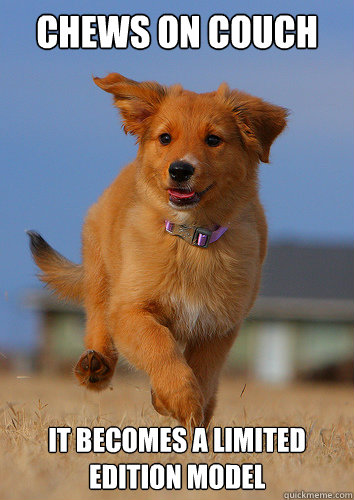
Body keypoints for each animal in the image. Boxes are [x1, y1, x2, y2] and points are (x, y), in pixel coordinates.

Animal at [27, 72, 288, 428]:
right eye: (165, 138)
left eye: (213, 140)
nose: (180, 170)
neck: (191, 238)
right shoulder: (130, 310)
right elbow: (160, 347)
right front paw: (178, 397)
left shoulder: (219, 325)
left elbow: (203, 372)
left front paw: (182, 407)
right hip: (101, 270)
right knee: (97, 317)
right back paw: (95, 366)